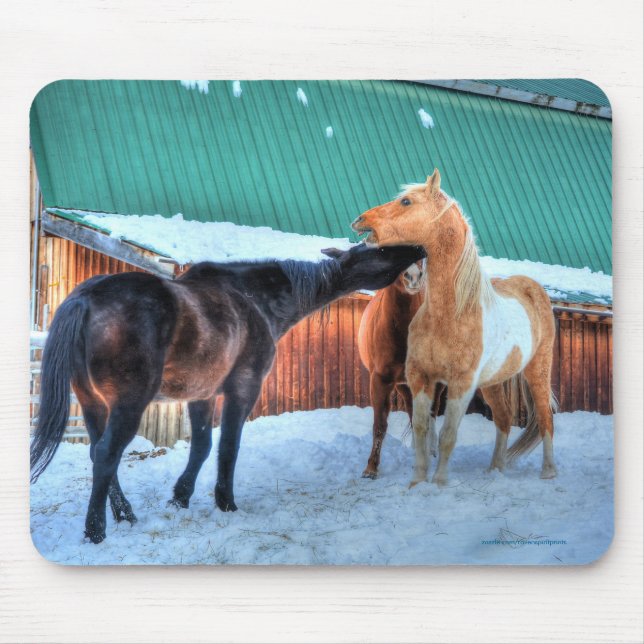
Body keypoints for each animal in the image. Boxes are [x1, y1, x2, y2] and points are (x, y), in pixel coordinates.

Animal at [31, 242, 426, 543]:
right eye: (381, 250)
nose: (418, 250)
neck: (255, 299)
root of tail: (86, 298)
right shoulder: (243, 389)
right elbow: (228, 448)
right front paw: (226, 503)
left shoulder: (202, 395)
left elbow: (202, 447)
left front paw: (181, 498)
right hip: (128, 405)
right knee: (107, 454)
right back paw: (96, 530)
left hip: (93, 404)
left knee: (99, 454)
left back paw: (125, 515)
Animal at [351, 169, 557, 487]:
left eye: (406, 201)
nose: (360, 219)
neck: (450, 313)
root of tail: (532, 287)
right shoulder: (420, 377)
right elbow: (422, 428)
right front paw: (417, 481)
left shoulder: (460, 384)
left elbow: (447, 435)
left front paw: (438, 482)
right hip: (492, 382)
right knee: (503, 418)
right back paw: (495, 469)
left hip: (538, 370)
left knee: (546, 418)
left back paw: (548, 471)